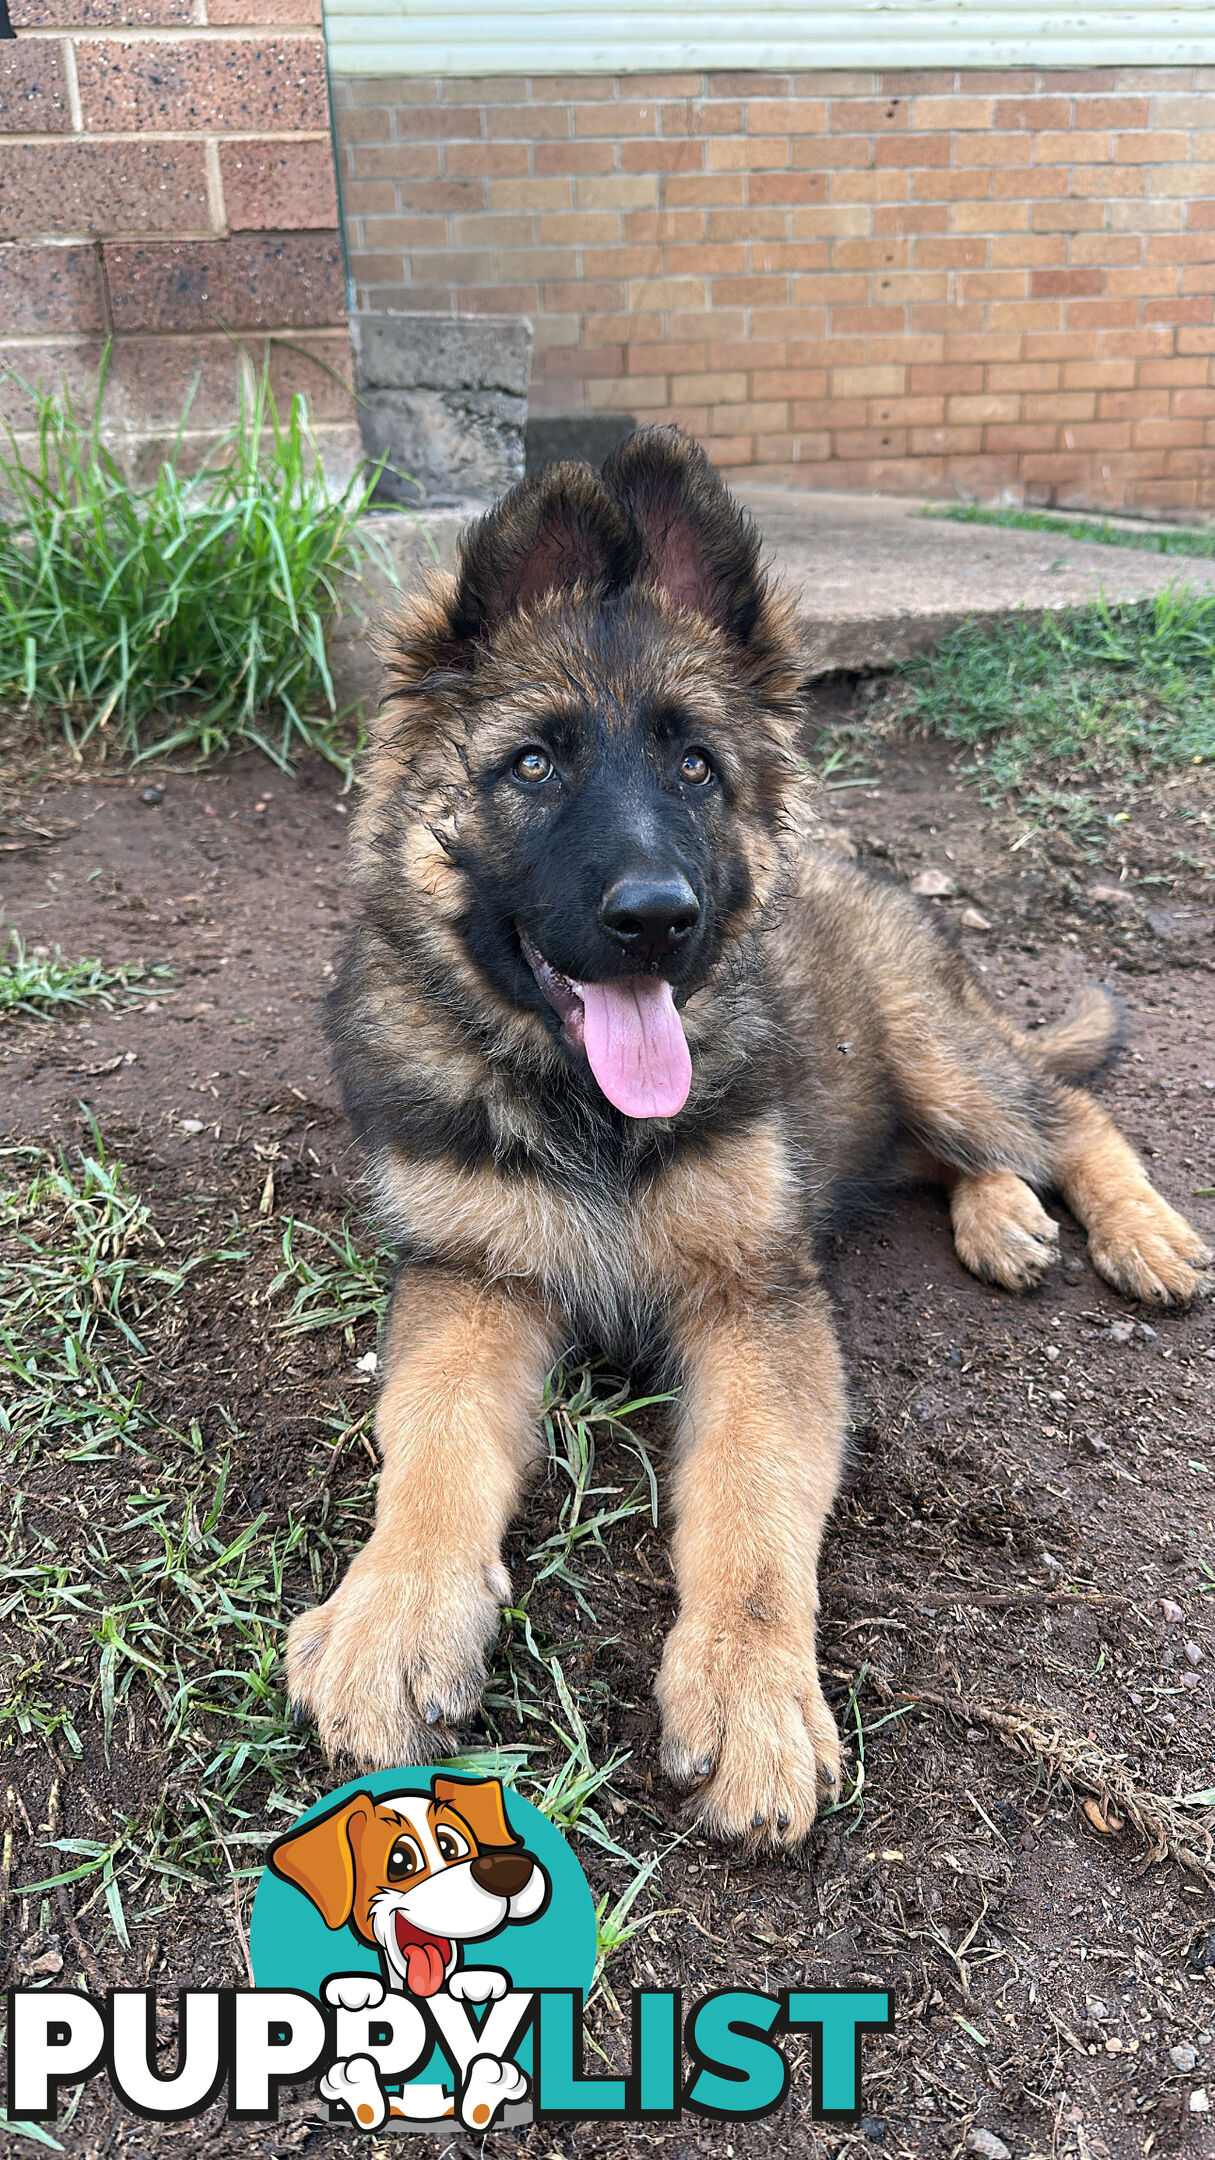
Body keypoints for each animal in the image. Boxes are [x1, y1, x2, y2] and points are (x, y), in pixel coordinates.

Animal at [285, 429, 1210, 1848]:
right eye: (534, 766)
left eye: (695, 769)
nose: (656, 917)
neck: (589, 1112)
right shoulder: (473, 1280)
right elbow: (431, 1453)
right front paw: (393, 1616)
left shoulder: (756, 1301)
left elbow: (752, 1503)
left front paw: (749, 1690)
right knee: (949, 1155)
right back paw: (1003, 1216)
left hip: (937, 1058)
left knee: (1068, 1112)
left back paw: (1137, 1230)